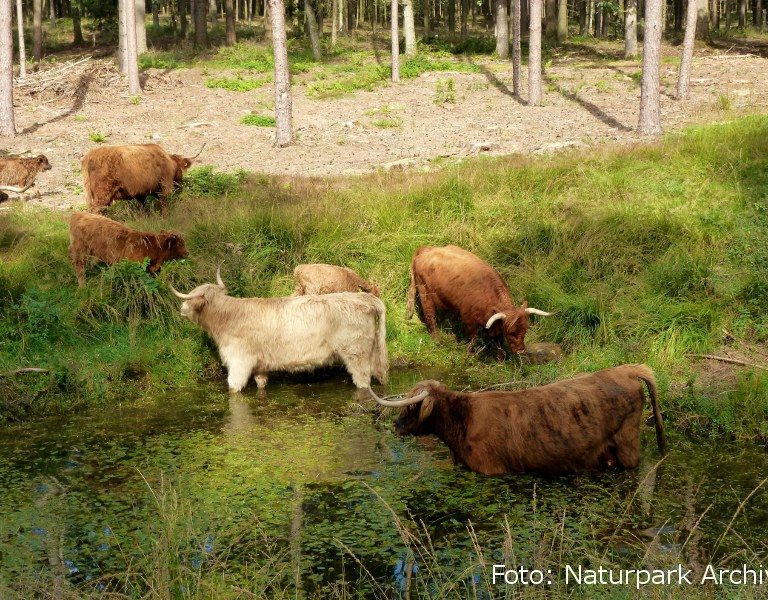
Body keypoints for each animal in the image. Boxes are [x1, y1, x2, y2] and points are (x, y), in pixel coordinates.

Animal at [404, 245, 548, 356]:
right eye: (511, 332)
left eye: (525, 331)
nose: (520, 351)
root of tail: (427, 249)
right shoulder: (468, 317)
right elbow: (473, 337)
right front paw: (470, 353)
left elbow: (498, 339)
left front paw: (501, 358)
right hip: (424, 292)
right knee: (430, 315)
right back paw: (436, 339)